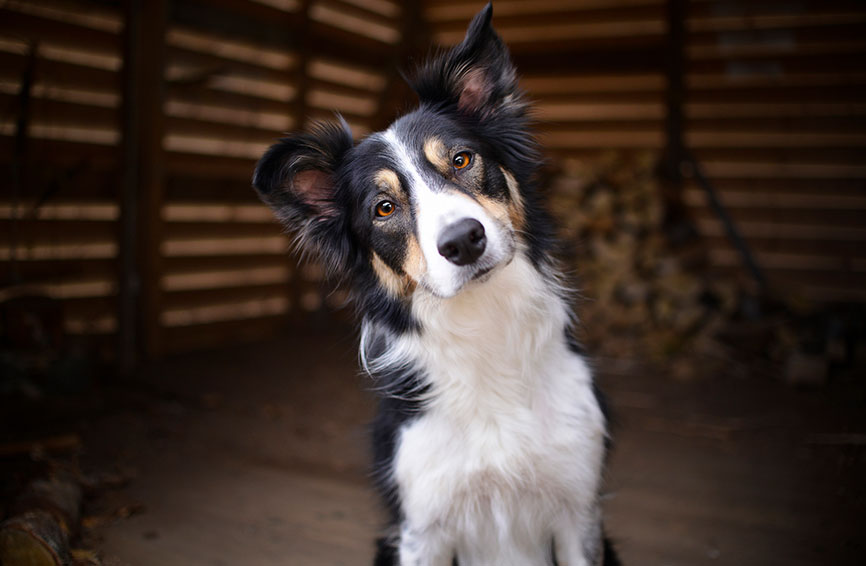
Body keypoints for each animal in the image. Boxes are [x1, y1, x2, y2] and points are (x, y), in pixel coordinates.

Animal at [253, 5, 616, 566]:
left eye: (462, 160)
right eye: (384, 208)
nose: (463, 241)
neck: (486, 330)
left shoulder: (579, 511)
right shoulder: (422, 526)